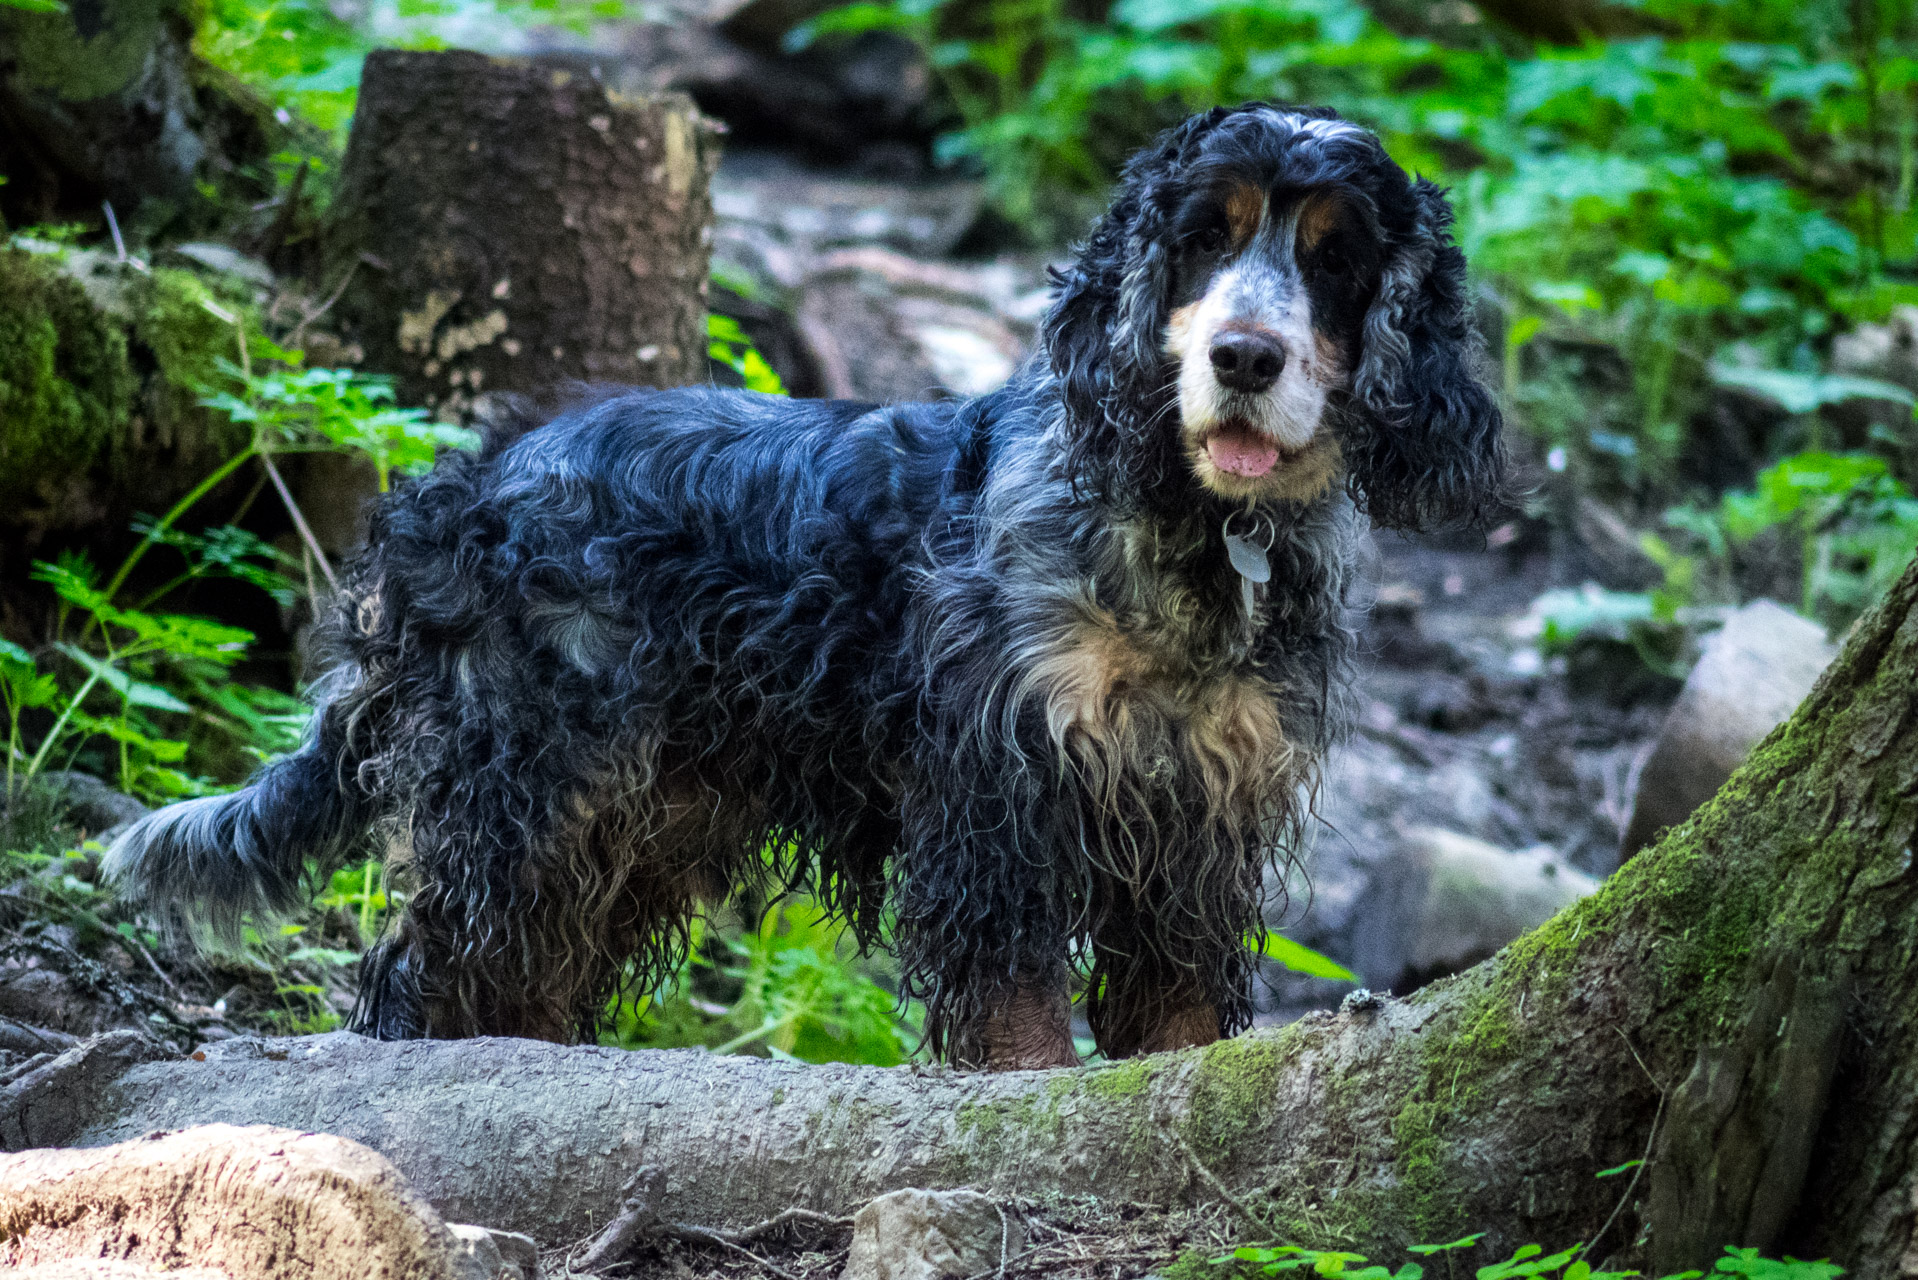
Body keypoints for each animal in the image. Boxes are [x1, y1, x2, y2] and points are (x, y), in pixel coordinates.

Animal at [105, 105, 1503, 1074]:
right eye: (1203, 234)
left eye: (1334, 257)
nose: (1245, 356)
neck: (1193, 537)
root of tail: (466, 481)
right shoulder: (1000, 787)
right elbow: (1015, 1000)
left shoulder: (1197, 820)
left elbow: (1173, 1008)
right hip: (526, 788)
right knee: (428, 967)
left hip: (638, 817)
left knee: (523, 975)